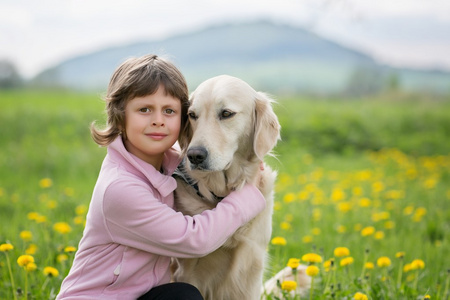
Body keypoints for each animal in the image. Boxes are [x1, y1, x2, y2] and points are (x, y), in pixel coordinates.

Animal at [173, 75, 282, 300]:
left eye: (226, 113)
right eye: (192, 115)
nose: (194, 155)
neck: (221, 196)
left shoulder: (251, 269)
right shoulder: (187, 271)